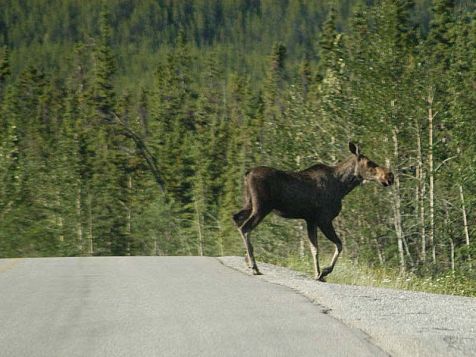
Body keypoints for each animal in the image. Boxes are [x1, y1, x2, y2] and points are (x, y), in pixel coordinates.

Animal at [231, 142, 394, 280]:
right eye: (370, 163)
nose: (389, 176)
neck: (342, 187)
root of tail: (247, 173)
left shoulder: (311, 220)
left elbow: (314, 248)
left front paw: (317, 273)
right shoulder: (324, 219)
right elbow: (339, 245)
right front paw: (324, 272)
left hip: (249, 204)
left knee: (236, 218)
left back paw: (247, 260)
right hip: (261, 207)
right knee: (245, 228)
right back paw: (254, 266)